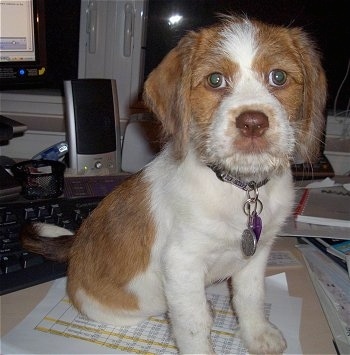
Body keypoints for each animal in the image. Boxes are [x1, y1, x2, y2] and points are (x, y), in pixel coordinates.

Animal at [21, 15, 326, 354]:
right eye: (215, 80)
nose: (253, 123)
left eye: (278, 76)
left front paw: (258, 334)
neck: (240, 187)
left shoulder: (256, 255)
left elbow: (250, 297)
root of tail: (74, 247)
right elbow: (193, 323)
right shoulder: (183, 264)